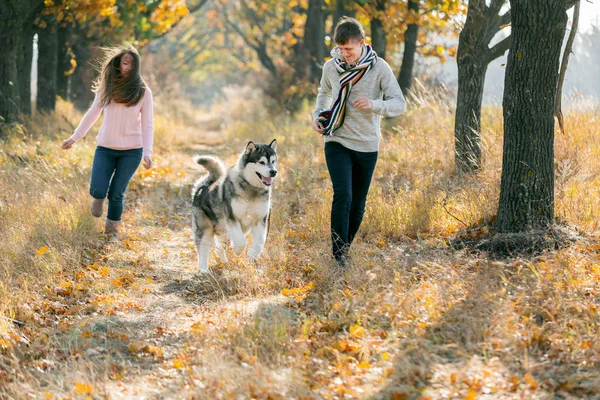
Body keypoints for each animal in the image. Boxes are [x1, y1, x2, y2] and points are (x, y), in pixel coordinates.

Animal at [191, 139, 278, 274]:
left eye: (273, 161)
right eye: (261, 162)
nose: (273, 172)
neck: (251, 189)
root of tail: (202, 188)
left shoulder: (260, 220)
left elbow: (260, 243)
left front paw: (253, 255)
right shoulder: (232, 218)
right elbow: (241, 242)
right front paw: (238, 251)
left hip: (223, 233)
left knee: (219, 249)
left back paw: (224, 263)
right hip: (206, 231)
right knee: (203, 251)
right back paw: (204, 269)